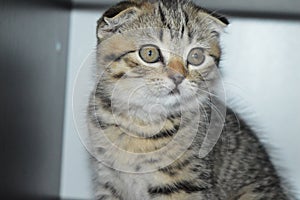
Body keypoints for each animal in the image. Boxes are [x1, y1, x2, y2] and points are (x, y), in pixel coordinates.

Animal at [86, 0, 292, 200]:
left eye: (196, 56)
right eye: (149, 53)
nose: (178, 77)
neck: (140, 122)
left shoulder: (185, 184)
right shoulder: (107, 181)